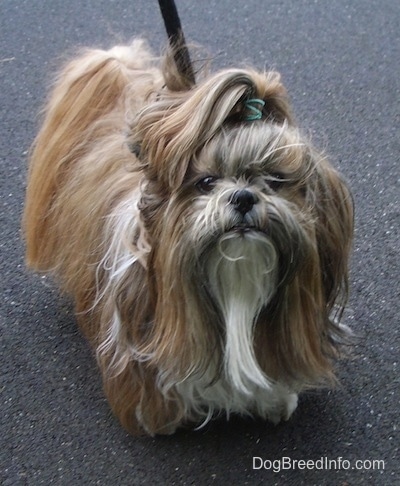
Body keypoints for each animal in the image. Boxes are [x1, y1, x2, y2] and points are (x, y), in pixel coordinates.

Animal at [23, 37, 354, 432]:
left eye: (274, 181)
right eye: (206, 182)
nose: (243, 196)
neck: (234, 288)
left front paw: (274, 399)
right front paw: (159, 416)